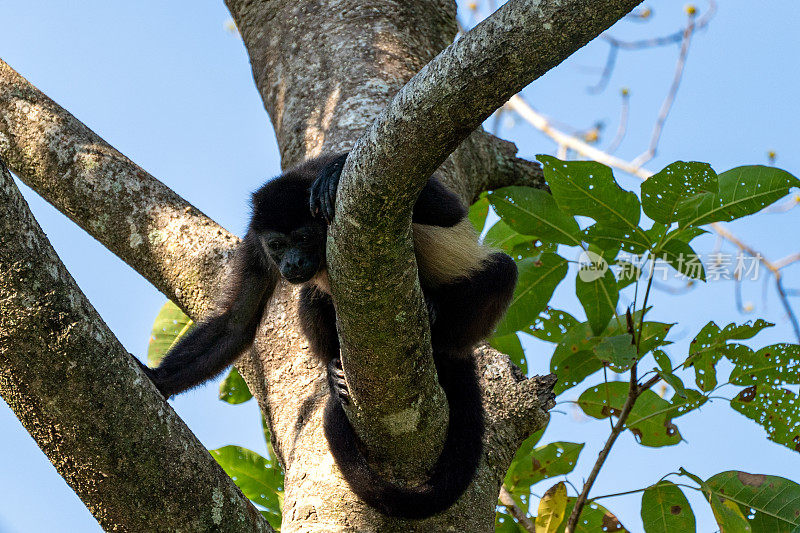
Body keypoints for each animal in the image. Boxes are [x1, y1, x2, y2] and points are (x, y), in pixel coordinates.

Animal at [142, 153, 520, 516]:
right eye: (277, 245)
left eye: (303, 238)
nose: (292, 263)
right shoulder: (255, 241)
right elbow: (235, 322)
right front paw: (157, 378)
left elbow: (449, 209)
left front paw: (334, 173)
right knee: (311, 296)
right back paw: (333, 371)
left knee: (504, 270)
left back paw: (435, 315)